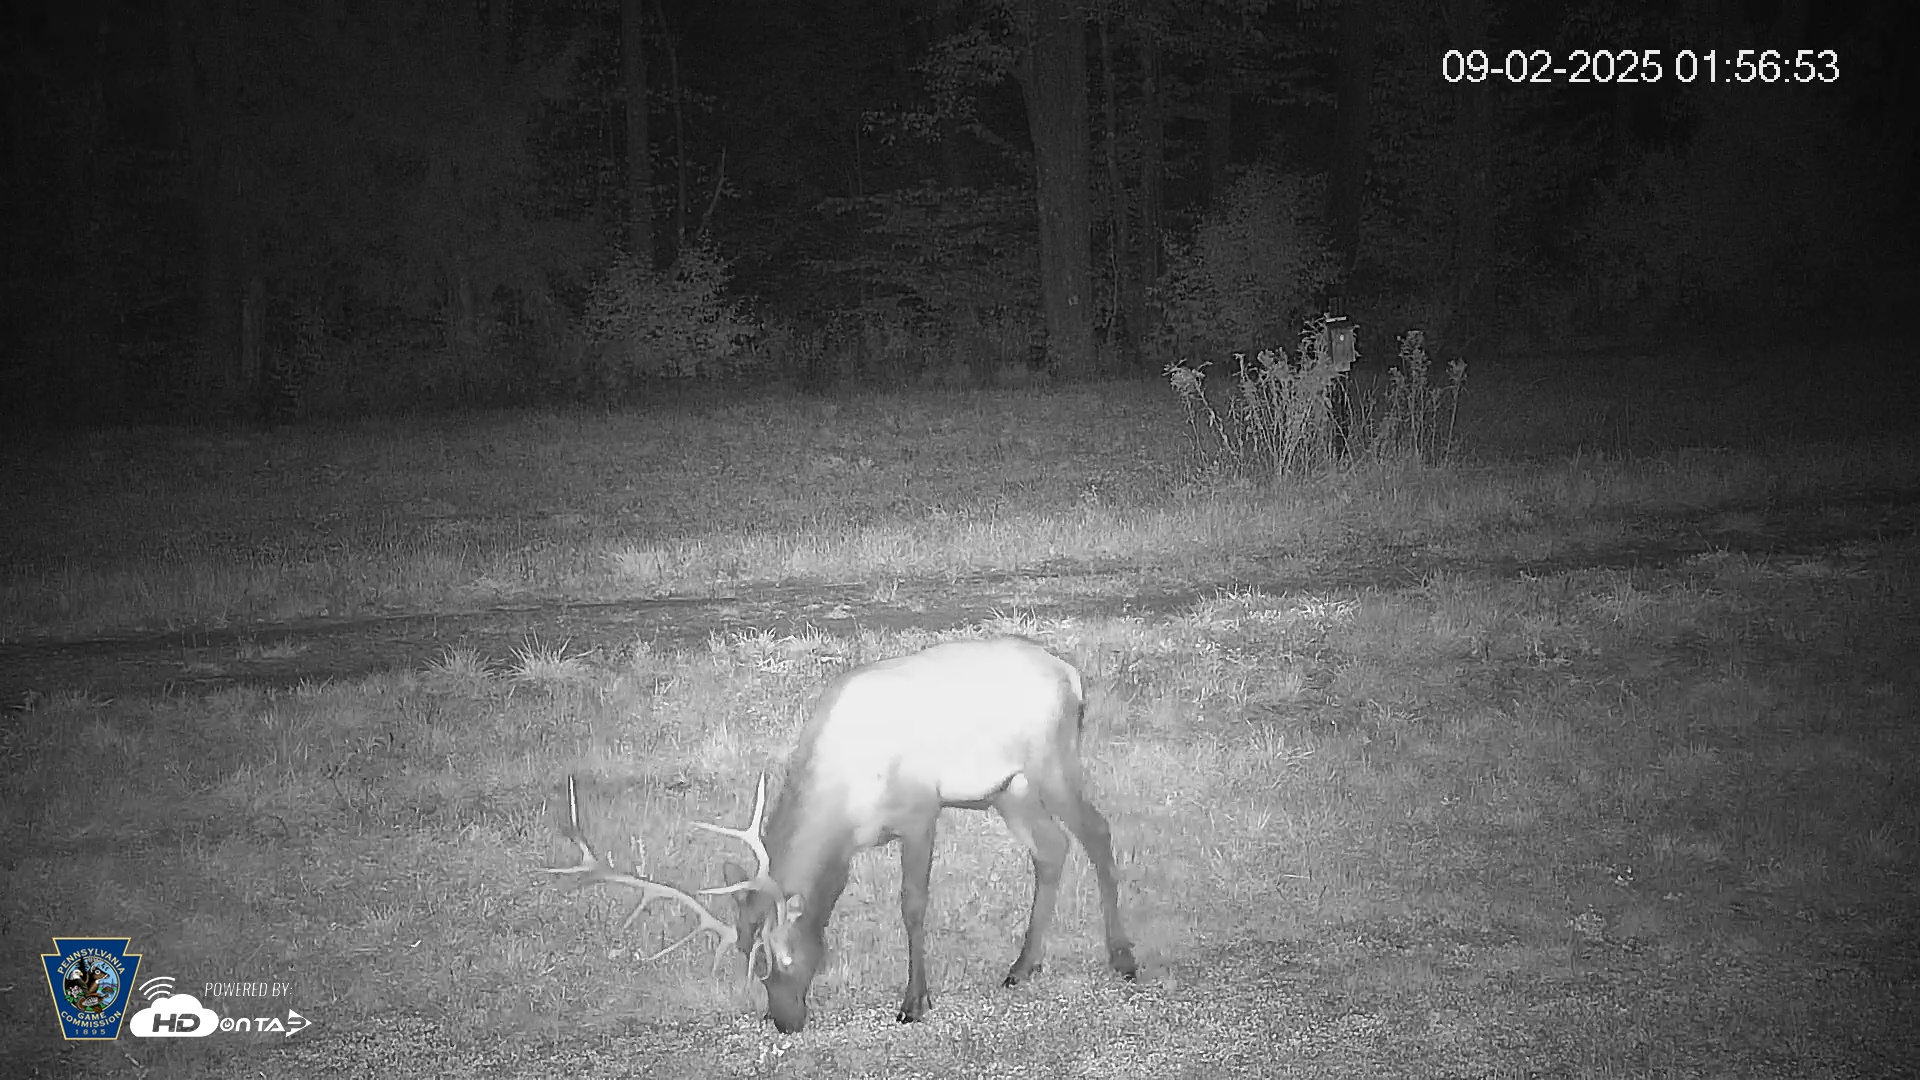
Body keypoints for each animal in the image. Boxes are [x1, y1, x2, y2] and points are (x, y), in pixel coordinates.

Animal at [541, 635, 1137, 1033]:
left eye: (782, 957)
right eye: (747, 961)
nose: (784, 1021)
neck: (846, 805)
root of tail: (1071, 675)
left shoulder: (921, 810)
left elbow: (913, 904)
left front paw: (914, 1003)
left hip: (1051, 761)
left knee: (1098, 831)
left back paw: (1123, 959)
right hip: (1005, 788)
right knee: (1052, 847)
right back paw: (1021, 966)